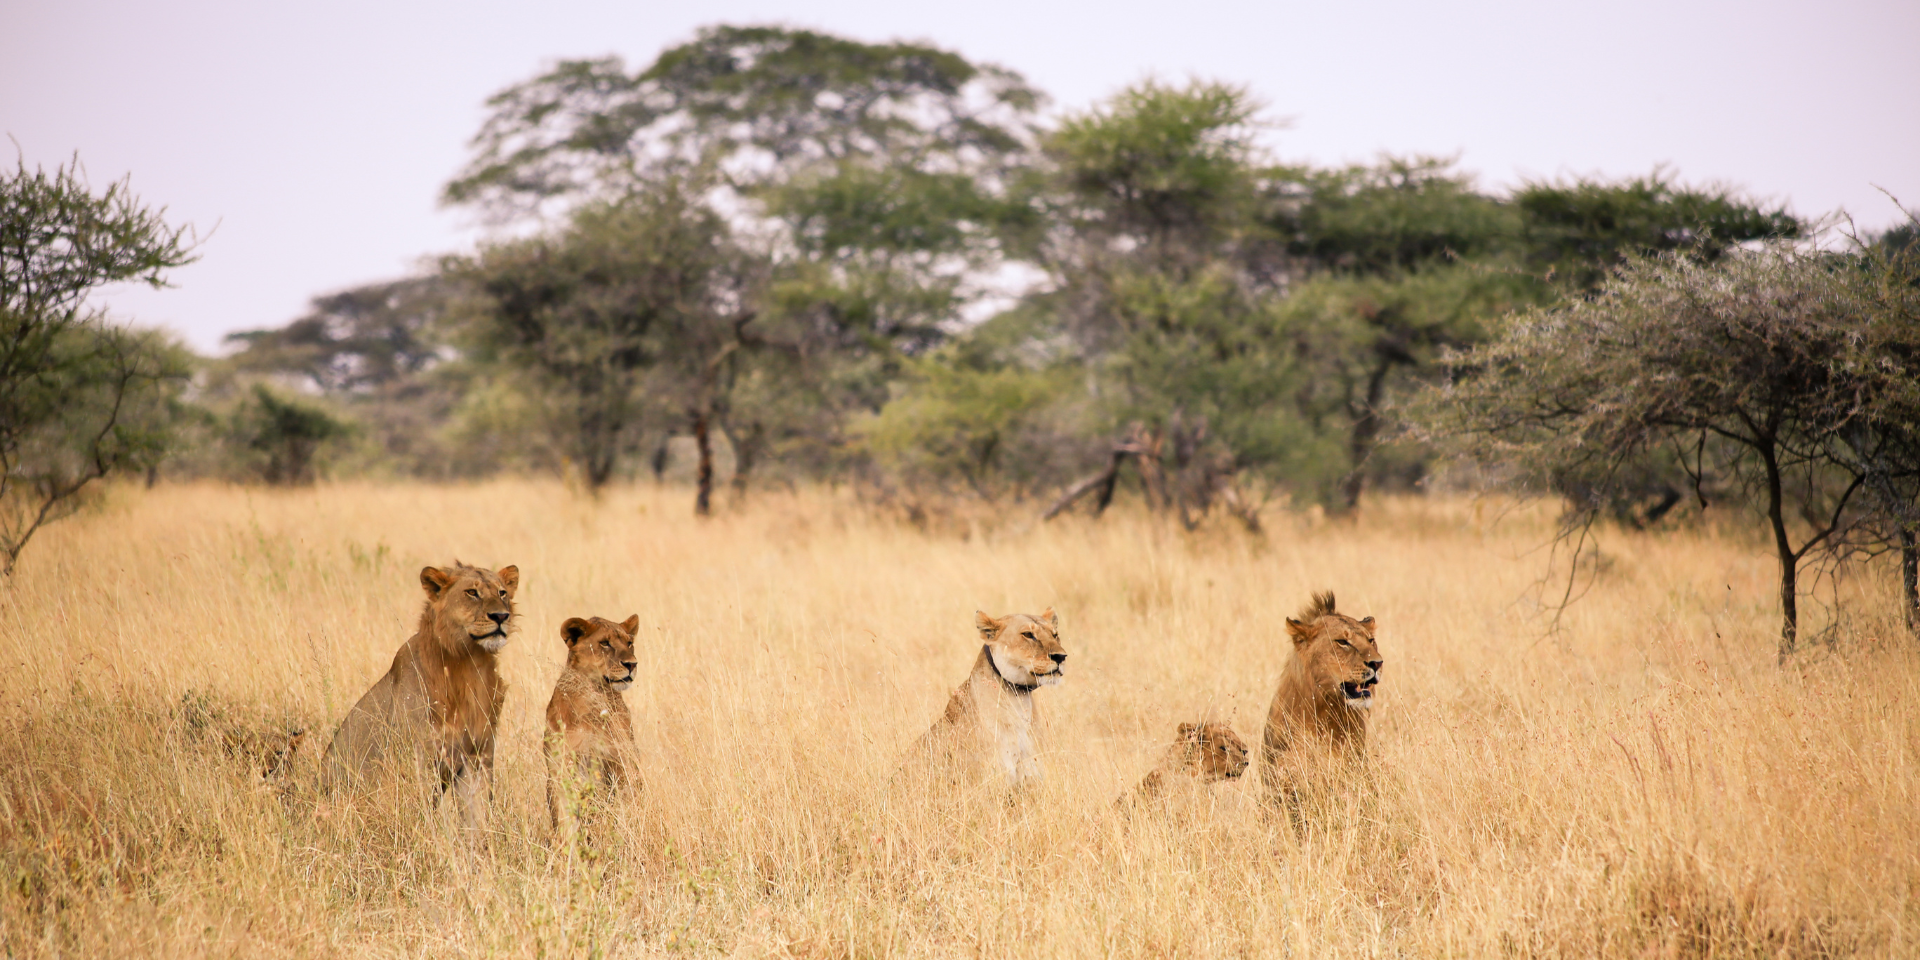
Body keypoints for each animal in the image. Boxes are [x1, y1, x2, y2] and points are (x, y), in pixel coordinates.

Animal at [320, 562, 519, 836]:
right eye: (472, 592)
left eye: (502, 593)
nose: (501, 616)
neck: (471, 664)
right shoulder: (419, 755)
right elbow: (421, 808)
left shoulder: (477, 754)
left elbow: (477, 816)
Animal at [544, 614, 640, 837]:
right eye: (605, 643)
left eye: (629, 643)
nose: (632, 664)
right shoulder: (560, 770)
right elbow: (564, 822)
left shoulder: (622, 763)